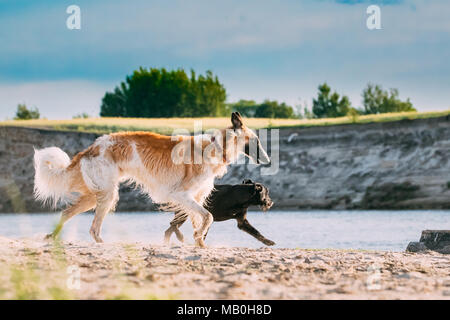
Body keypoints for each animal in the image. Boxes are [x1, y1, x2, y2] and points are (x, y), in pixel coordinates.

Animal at [33, 112, 270, 248]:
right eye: (256, 141)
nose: (268, 160)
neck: (216, 147)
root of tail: (91, 148)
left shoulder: (196, 197)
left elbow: (200, 221)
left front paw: (200, 243)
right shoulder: (180, 194)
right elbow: (208, 217)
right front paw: (196, 238)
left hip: (97, 196)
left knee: (69, 215)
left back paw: (53, 237)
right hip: (106, 194)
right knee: (89, 226)